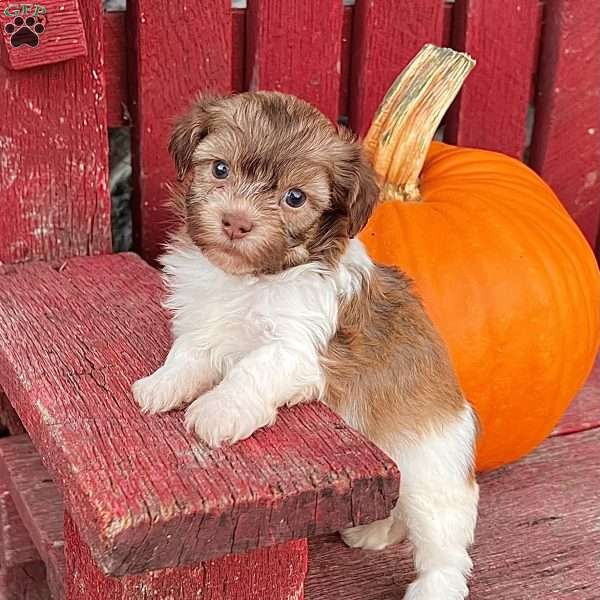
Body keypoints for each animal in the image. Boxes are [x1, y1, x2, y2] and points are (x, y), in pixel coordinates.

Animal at [134, 91, 480, 596]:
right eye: (219, 169)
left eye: (294, 198)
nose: (236, 222)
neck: (253, 277)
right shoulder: (204, 321)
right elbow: (190, 353)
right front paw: (163, 384)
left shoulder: (298, 347)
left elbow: (251, 369)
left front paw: (219, 411)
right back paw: (373, 530)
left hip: (431, 470)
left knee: (443, 545)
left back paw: (434, 587)